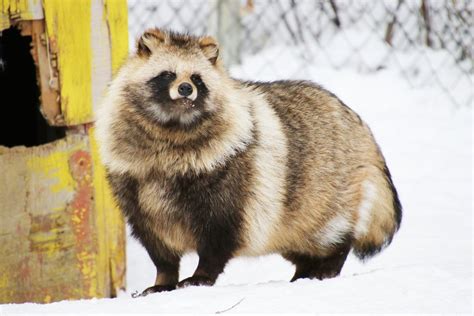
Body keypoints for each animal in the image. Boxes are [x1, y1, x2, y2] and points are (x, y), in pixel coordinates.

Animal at [94, 28, 402, 296]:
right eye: (167, 74)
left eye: (196, 78)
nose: (184, 89)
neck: (173, 129)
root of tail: (363, 129)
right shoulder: (136, 190)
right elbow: (159, 248)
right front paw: (165, 279)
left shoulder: (231, 179)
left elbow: (218, 237)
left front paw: (202, 275)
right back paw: (305, 269)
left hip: (328, 195)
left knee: (331, 235)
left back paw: (326, 265)